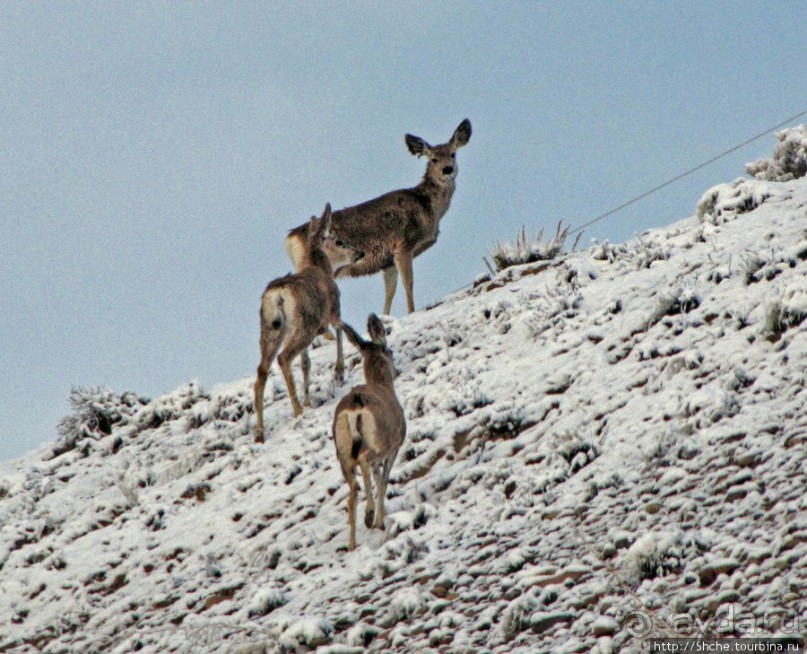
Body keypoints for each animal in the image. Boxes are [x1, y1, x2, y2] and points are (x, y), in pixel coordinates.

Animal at [254, 202, 364, 444]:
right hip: (305, 324)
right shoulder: (333, 311)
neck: (322, 270)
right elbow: (342, 331)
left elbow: (306, 363)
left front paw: (308, 399)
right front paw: (339, 373)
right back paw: (297, 411)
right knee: (284, 358)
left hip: (271, 330)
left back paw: (260, 432)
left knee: (261, 372)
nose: (360, 252)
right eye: (338, 241)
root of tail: (278, 295)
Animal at [286, 121, 470, 320]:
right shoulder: (404, 243)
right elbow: (408, 283)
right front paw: (412, 312)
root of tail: (291, 238)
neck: (428, 208)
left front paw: (384, 317)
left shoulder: (387, 260)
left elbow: (390, 291)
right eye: (433, 159)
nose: (448, 169)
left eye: (453, 153)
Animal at [332, 316, 404, 552]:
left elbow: (377, 477)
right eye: (390, 350)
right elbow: (383, 481)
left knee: (352, 490)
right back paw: (371, 515)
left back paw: (352, 544)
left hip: (343, 452)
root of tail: (355, 407)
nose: (397, 371)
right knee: (364, 460)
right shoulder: (394, 448)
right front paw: (381, 518)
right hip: (379, 443)